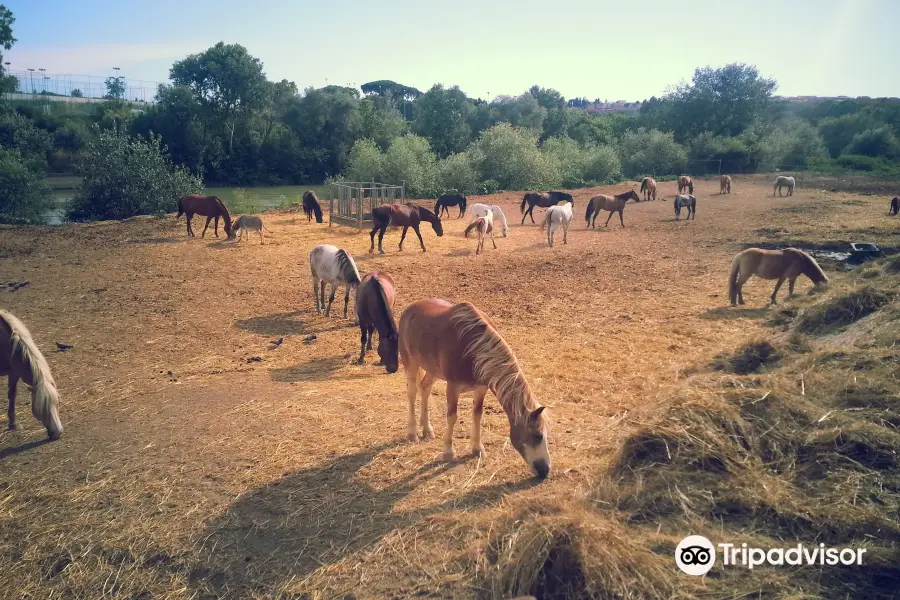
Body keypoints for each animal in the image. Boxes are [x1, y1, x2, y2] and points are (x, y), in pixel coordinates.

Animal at [0, 310, 63, 440]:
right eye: (42, 407)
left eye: (58, 402)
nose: (58, 433)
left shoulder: (14, 372)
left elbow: (12, 395)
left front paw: (13, 423)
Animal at [400, 300, 552, 478]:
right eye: (538, 436)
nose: (545, 470)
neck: (472, 349)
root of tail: (410, 308)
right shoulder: (452, 388)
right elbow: (452, 417)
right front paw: (449, 452)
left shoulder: (481, 388)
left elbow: (477, 415)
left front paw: (477, 449)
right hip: (410, 363)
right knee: (412, 394)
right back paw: (412, 433)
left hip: (433, 370)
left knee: (425, 388)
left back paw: (427, 429)